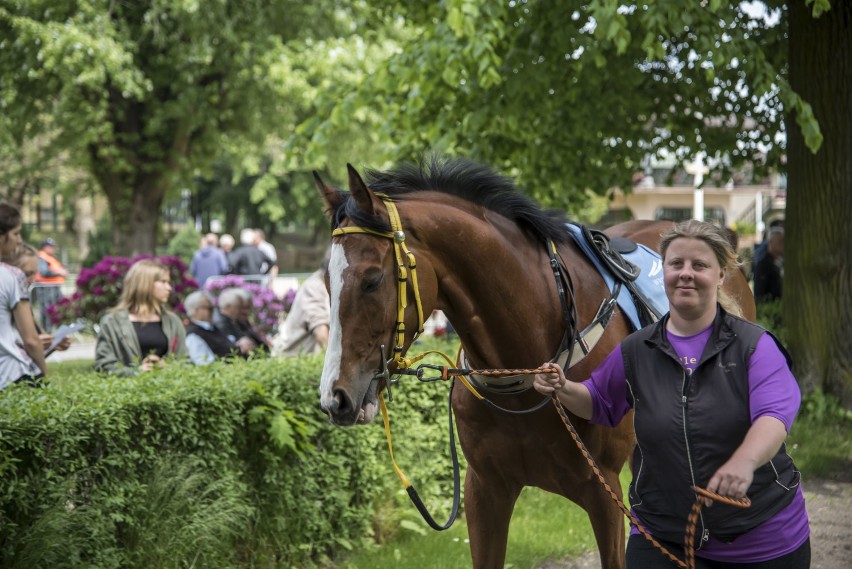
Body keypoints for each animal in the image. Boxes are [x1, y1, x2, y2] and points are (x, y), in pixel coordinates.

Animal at [316, 156, 756, 568]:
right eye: (326, 281)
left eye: (372, 280)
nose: (335, 397)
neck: (523, 367)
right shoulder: (485, 490)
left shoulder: (603, 490)